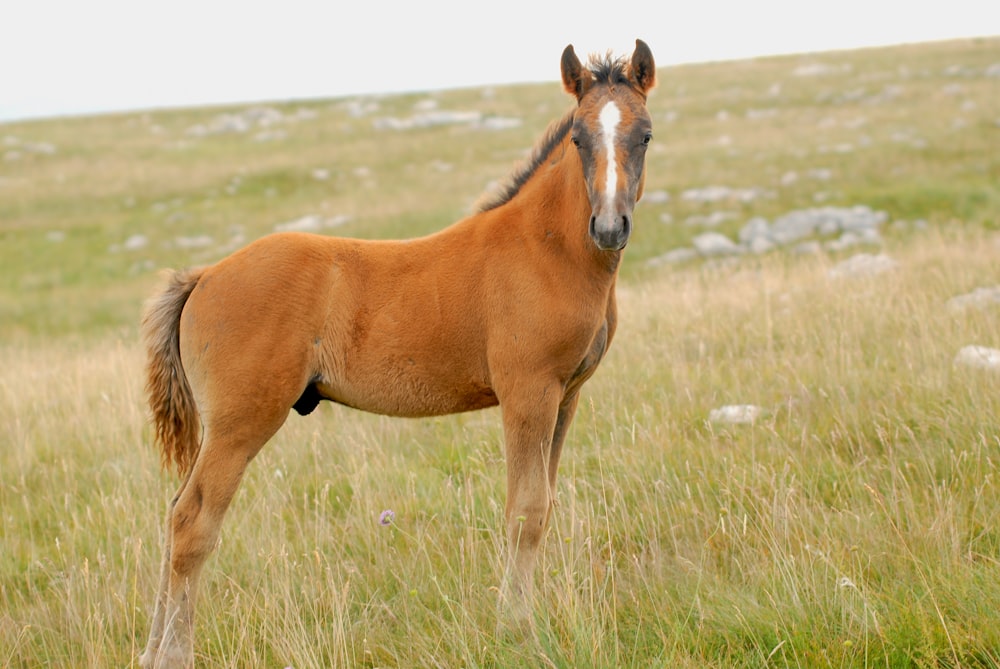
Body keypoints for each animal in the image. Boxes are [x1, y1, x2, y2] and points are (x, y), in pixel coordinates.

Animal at [141, 41, 656, 668]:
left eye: (645, 134)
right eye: (579, 138)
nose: (609, 227)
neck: (547, 250)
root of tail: (205, 276)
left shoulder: (568, 396)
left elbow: (545, 506)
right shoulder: (528, 392)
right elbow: (525, 513)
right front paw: (517, 633)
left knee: (174, 512)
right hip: (242, 421)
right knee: (193, 522)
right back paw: (173, 654)